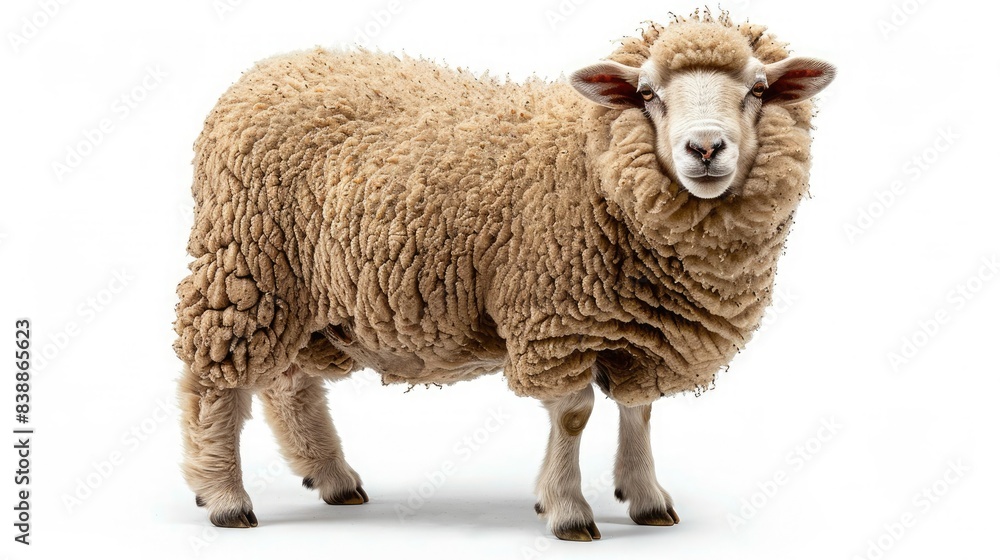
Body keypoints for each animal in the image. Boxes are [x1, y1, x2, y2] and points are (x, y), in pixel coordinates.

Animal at [174, 10, 835, 541]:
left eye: (758, 88)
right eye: (647, 93)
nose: (705, 148)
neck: (595, 166)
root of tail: (267, 70)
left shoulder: (648, 328)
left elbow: (639, 411)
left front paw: (646, 499)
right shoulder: (556, 318)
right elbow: (572, 415)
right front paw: (567, 510)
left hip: (304, 294)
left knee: (289, 385)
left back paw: (332, 477)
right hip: (245, 267)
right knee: (216, 382)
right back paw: (225, 497)